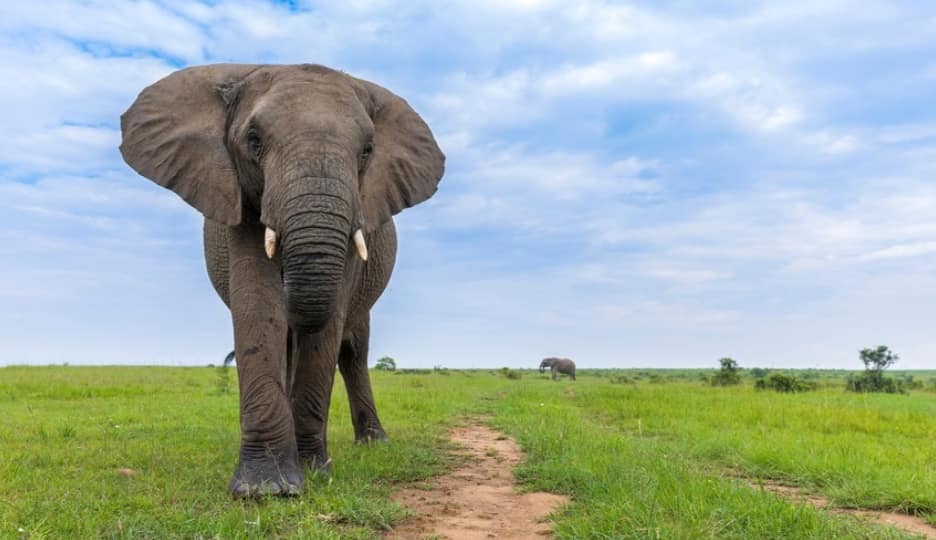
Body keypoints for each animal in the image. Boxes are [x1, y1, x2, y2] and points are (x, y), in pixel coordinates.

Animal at [119, 63, 446, 498]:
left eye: (367, 150)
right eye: (253, 140)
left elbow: (328, 328)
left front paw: (313, 471)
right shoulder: (238, 198)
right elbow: (259, 304)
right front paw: (264, 489)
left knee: (352, 350)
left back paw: (373, 443)